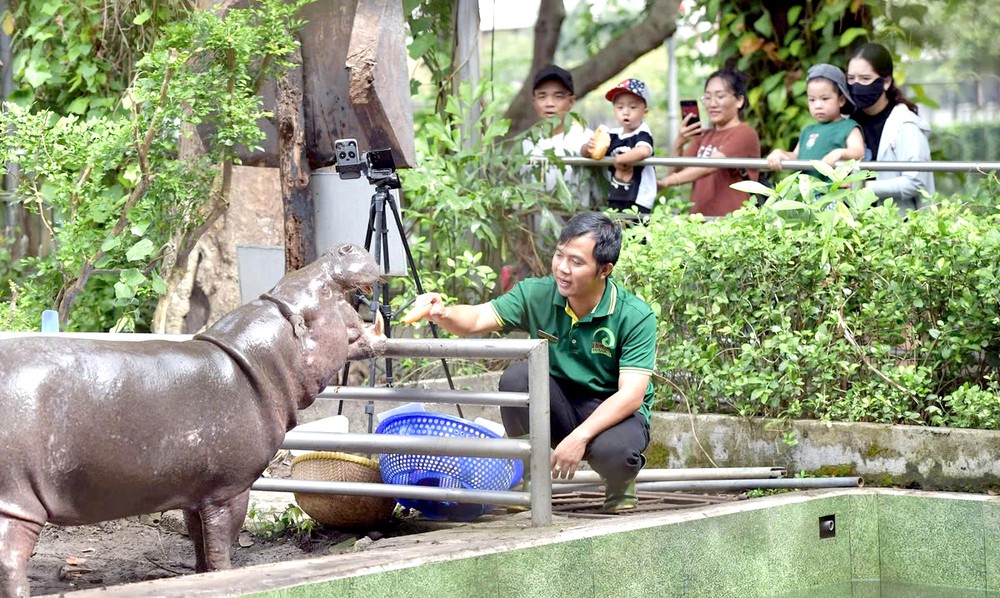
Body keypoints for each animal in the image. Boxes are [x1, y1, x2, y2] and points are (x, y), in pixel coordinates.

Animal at [0, 244, 386, 598]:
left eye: (287, 280)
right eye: (322, 292)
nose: (346, 247)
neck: (262, 358)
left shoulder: (193, 491)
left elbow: (199, 542)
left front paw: (201, 578)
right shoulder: (229, 491)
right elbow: (221, 545)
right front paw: (225, 576)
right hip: (16, 502)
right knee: (11, 559)